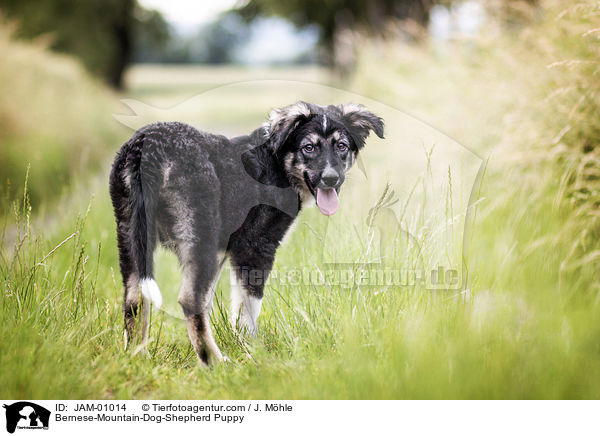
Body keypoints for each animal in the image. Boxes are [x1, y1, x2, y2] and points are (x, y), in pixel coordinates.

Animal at [108, 101, 384, 364]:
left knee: (135, 298)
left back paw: (138, 357)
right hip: (201, 234)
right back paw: (215, 362)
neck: (277, 163)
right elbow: (248, 307)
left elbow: (219, 301)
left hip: (130, 233)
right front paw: (252, 350)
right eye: (308, 147)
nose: (331, 178)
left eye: (341, 146)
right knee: (189, 300)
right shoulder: (256, 246)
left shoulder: (226, 250)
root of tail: (147, 146)